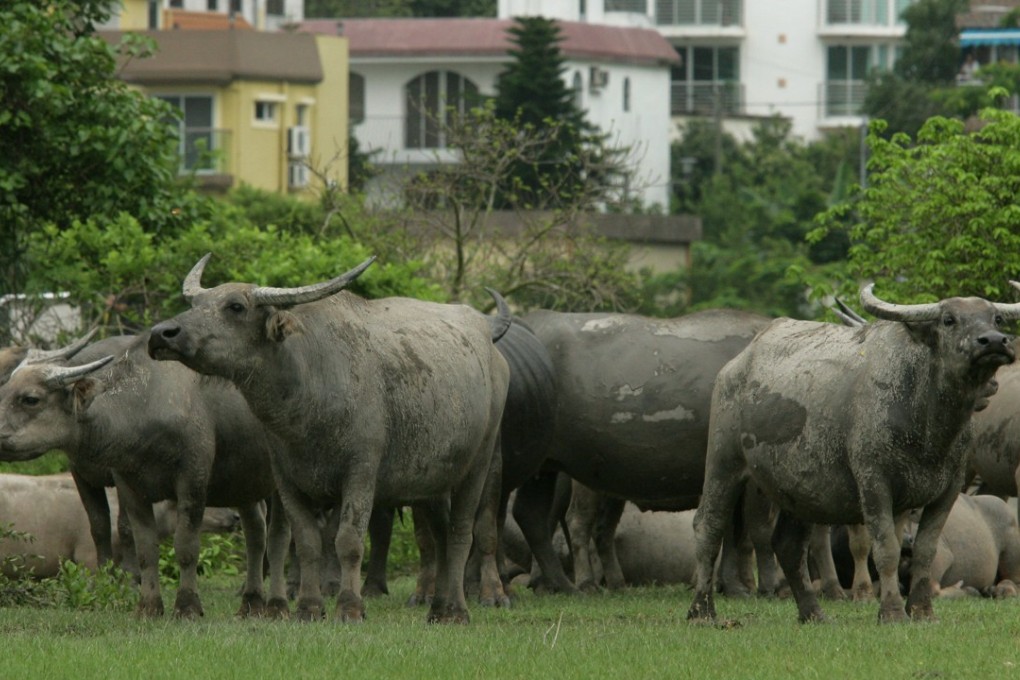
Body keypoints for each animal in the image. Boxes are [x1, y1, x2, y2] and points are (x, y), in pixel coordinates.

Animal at [0, 338, 289, 619]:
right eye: (3, 392)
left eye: (30, 399)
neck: (145, 409)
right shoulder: (128, 486)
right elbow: (145, 548)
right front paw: (149, 606)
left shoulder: (192, 481)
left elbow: (186, 546)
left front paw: (187, 606)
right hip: (245, 482)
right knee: (255, 533)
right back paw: (250, 603)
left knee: (278, 538)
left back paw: (278, 605)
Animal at [147, 253, 510, 623]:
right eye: (195, 304)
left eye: (236, 306)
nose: (162, 334)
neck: (309, 392)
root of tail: (491, 348)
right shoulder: (287, 480)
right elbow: (307, 543)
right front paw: (308, 606)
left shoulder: (361, 473)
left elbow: (348, 541)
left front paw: (349, 606)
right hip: (432, 482)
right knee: (440, 534)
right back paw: (437, 608)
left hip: (479, 464)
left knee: (461, 533)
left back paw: (458, 610)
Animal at [518, 307, 771, 595]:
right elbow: (749, 531)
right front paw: (750, 585)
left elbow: (738, 533)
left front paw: (736, 584)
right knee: (575, 522)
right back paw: (584, 583)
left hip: (553, 468)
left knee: (540, 518)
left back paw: (568, 583)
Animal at [685, 285, 1020, 623]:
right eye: (949, 319)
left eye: (996, 318)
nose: (993, 341)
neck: (929, 425)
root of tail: (734, 368)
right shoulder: (874, 483)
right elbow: (885, 549)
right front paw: (891, 611)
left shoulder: (947, 489)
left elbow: (925, 549)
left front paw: (922, 611)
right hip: (724, 464)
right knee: (709, 526)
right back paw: (702, 611)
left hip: (799, 490)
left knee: (789, 545)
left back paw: (813, 613)